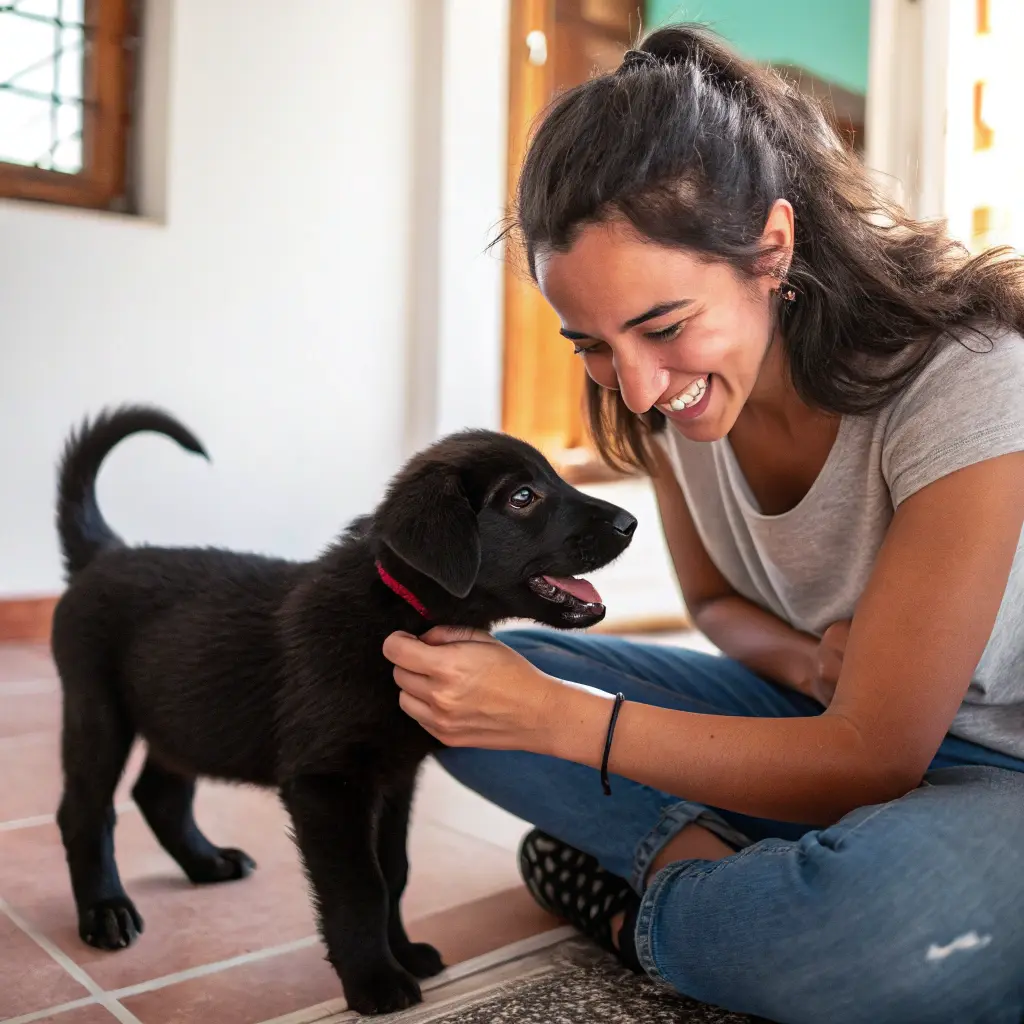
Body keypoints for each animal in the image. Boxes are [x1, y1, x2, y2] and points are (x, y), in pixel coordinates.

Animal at [51, 405, 634, 1015]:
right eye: (523, 497)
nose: (630, 522)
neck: (399, 611)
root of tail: (105, 553)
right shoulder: (326, 784)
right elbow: (360, 885)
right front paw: (374, 980)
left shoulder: (397, 776)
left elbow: (393, 871)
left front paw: (402, 951)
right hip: (97, 711)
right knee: (86, 812)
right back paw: (105, 913)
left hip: (182, 716)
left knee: (158, 794)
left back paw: (207, 863)